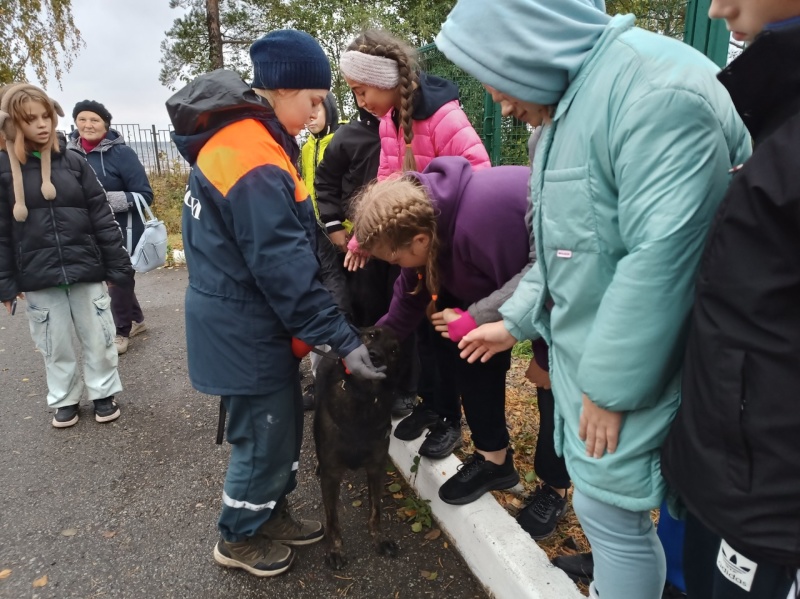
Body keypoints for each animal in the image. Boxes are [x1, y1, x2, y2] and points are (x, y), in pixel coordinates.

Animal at [312, 326, 400, 568]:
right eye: (371, 335)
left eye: (394, 350)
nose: (374, 356)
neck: (363, 398)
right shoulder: (332, 474)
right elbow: (332, 519)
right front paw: (335, 549)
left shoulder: (376, 468)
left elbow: (376, 510)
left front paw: (378, 538)